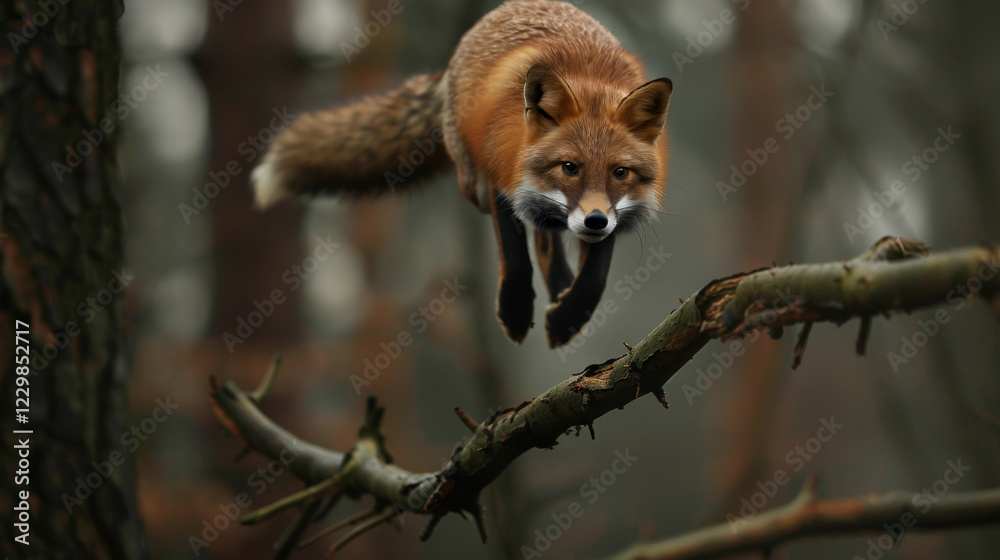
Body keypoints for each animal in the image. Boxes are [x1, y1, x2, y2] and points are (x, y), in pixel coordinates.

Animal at [252, 0, 672, 348]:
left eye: (620, 172)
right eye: (570, 168)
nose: (595, 221)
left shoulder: (614, 213)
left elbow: (595, 277)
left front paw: (569, 317)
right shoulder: (500, 180)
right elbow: (515, 258)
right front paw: (516, 313)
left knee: (547, 235)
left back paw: (561, 288)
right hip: (473, 183)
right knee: (538, 230)